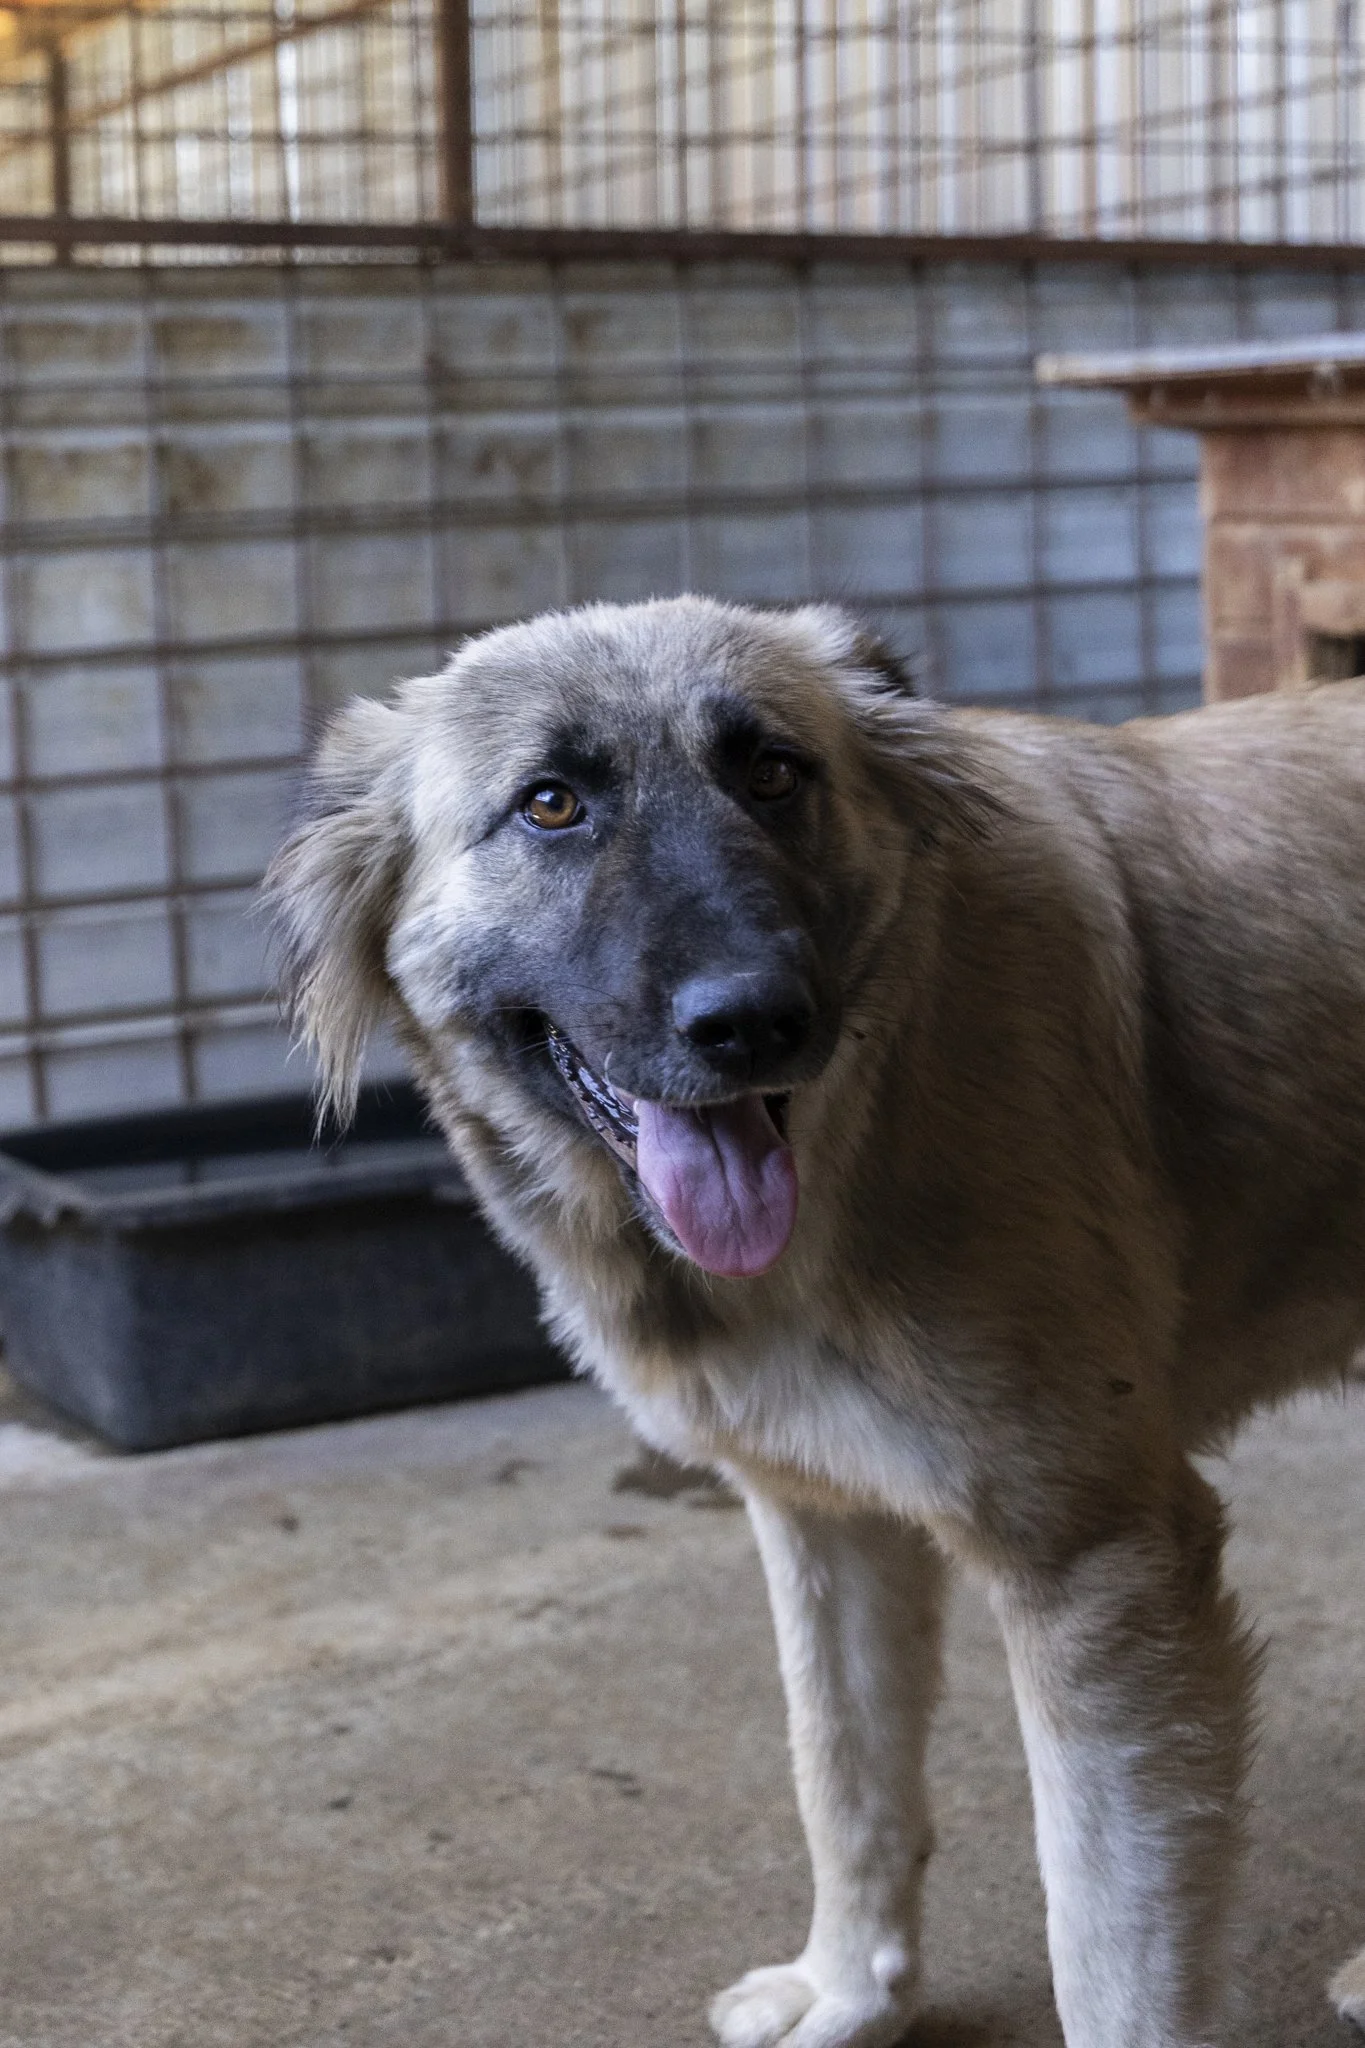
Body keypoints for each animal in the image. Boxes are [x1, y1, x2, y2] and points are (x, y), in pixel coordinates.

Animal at [267, 595, 1365, 2048]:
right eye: (551, 803)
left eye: (773, 772)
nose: (754, 1022)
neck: (876, 1106)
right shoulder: (824, 1513)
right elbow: (843, 1779)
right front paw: (851, 1994)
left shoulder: (1099, 1559)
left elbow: (1108, 1942)